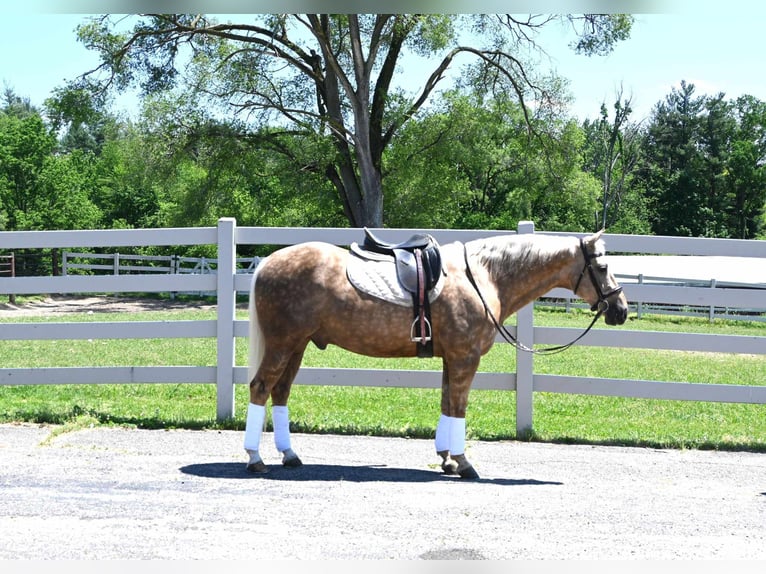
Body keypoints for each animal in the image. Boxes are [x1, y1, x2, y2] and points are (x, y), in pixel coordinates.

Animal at [243, 229, 629, 479]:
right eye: (603, 267)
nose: (621, 309)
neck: (483, 278)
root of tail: (267, 262)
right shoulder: (465, 357)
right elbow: (458, 407)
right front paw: (463, 462)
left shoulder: (451, 358)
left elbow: (446, 403)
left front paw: (447, 459)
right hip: (282, 343)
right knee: (260, 388)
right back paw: (254, 458)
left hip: (297, 345)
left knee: (280, 392)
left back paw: (289, 454)